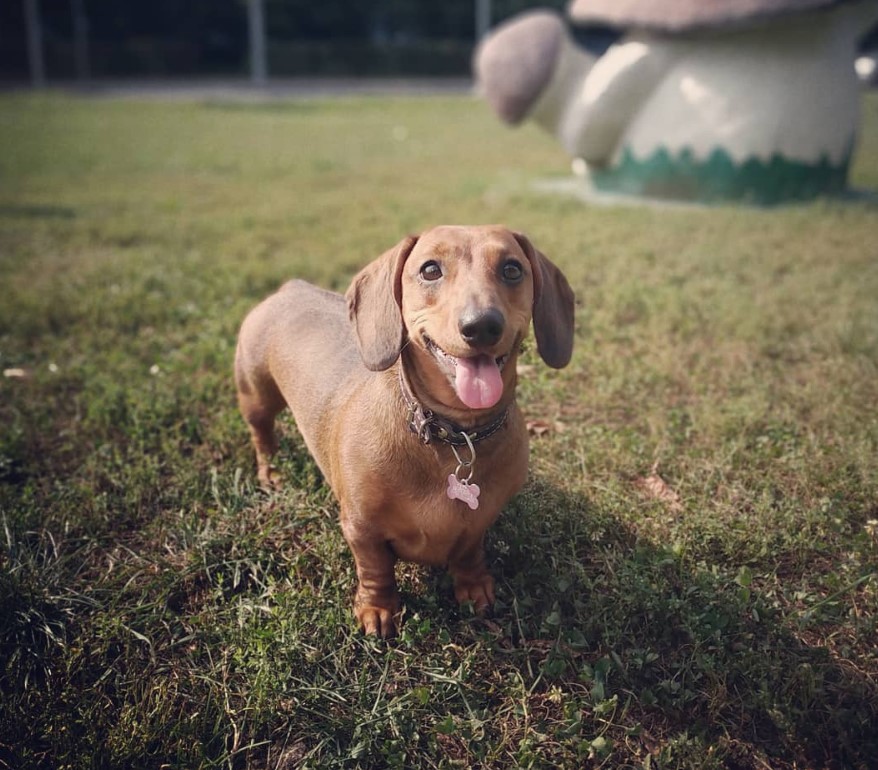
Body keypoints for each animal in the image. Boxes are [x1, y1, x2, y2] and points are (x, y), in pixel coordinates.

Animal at [235, 224, 576, 636]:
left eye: (512, 269)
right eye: (430, 269)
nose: (481, 326)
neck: (454, 435)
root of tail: (291, 287)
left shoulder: (479, 522)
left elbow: (469, 552)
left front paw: (473, 585)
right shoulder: (360, 528)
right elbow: (376, 569)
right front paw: (378, 609)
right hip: (256, 395)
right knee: (262, 434)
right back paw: (270, 472)